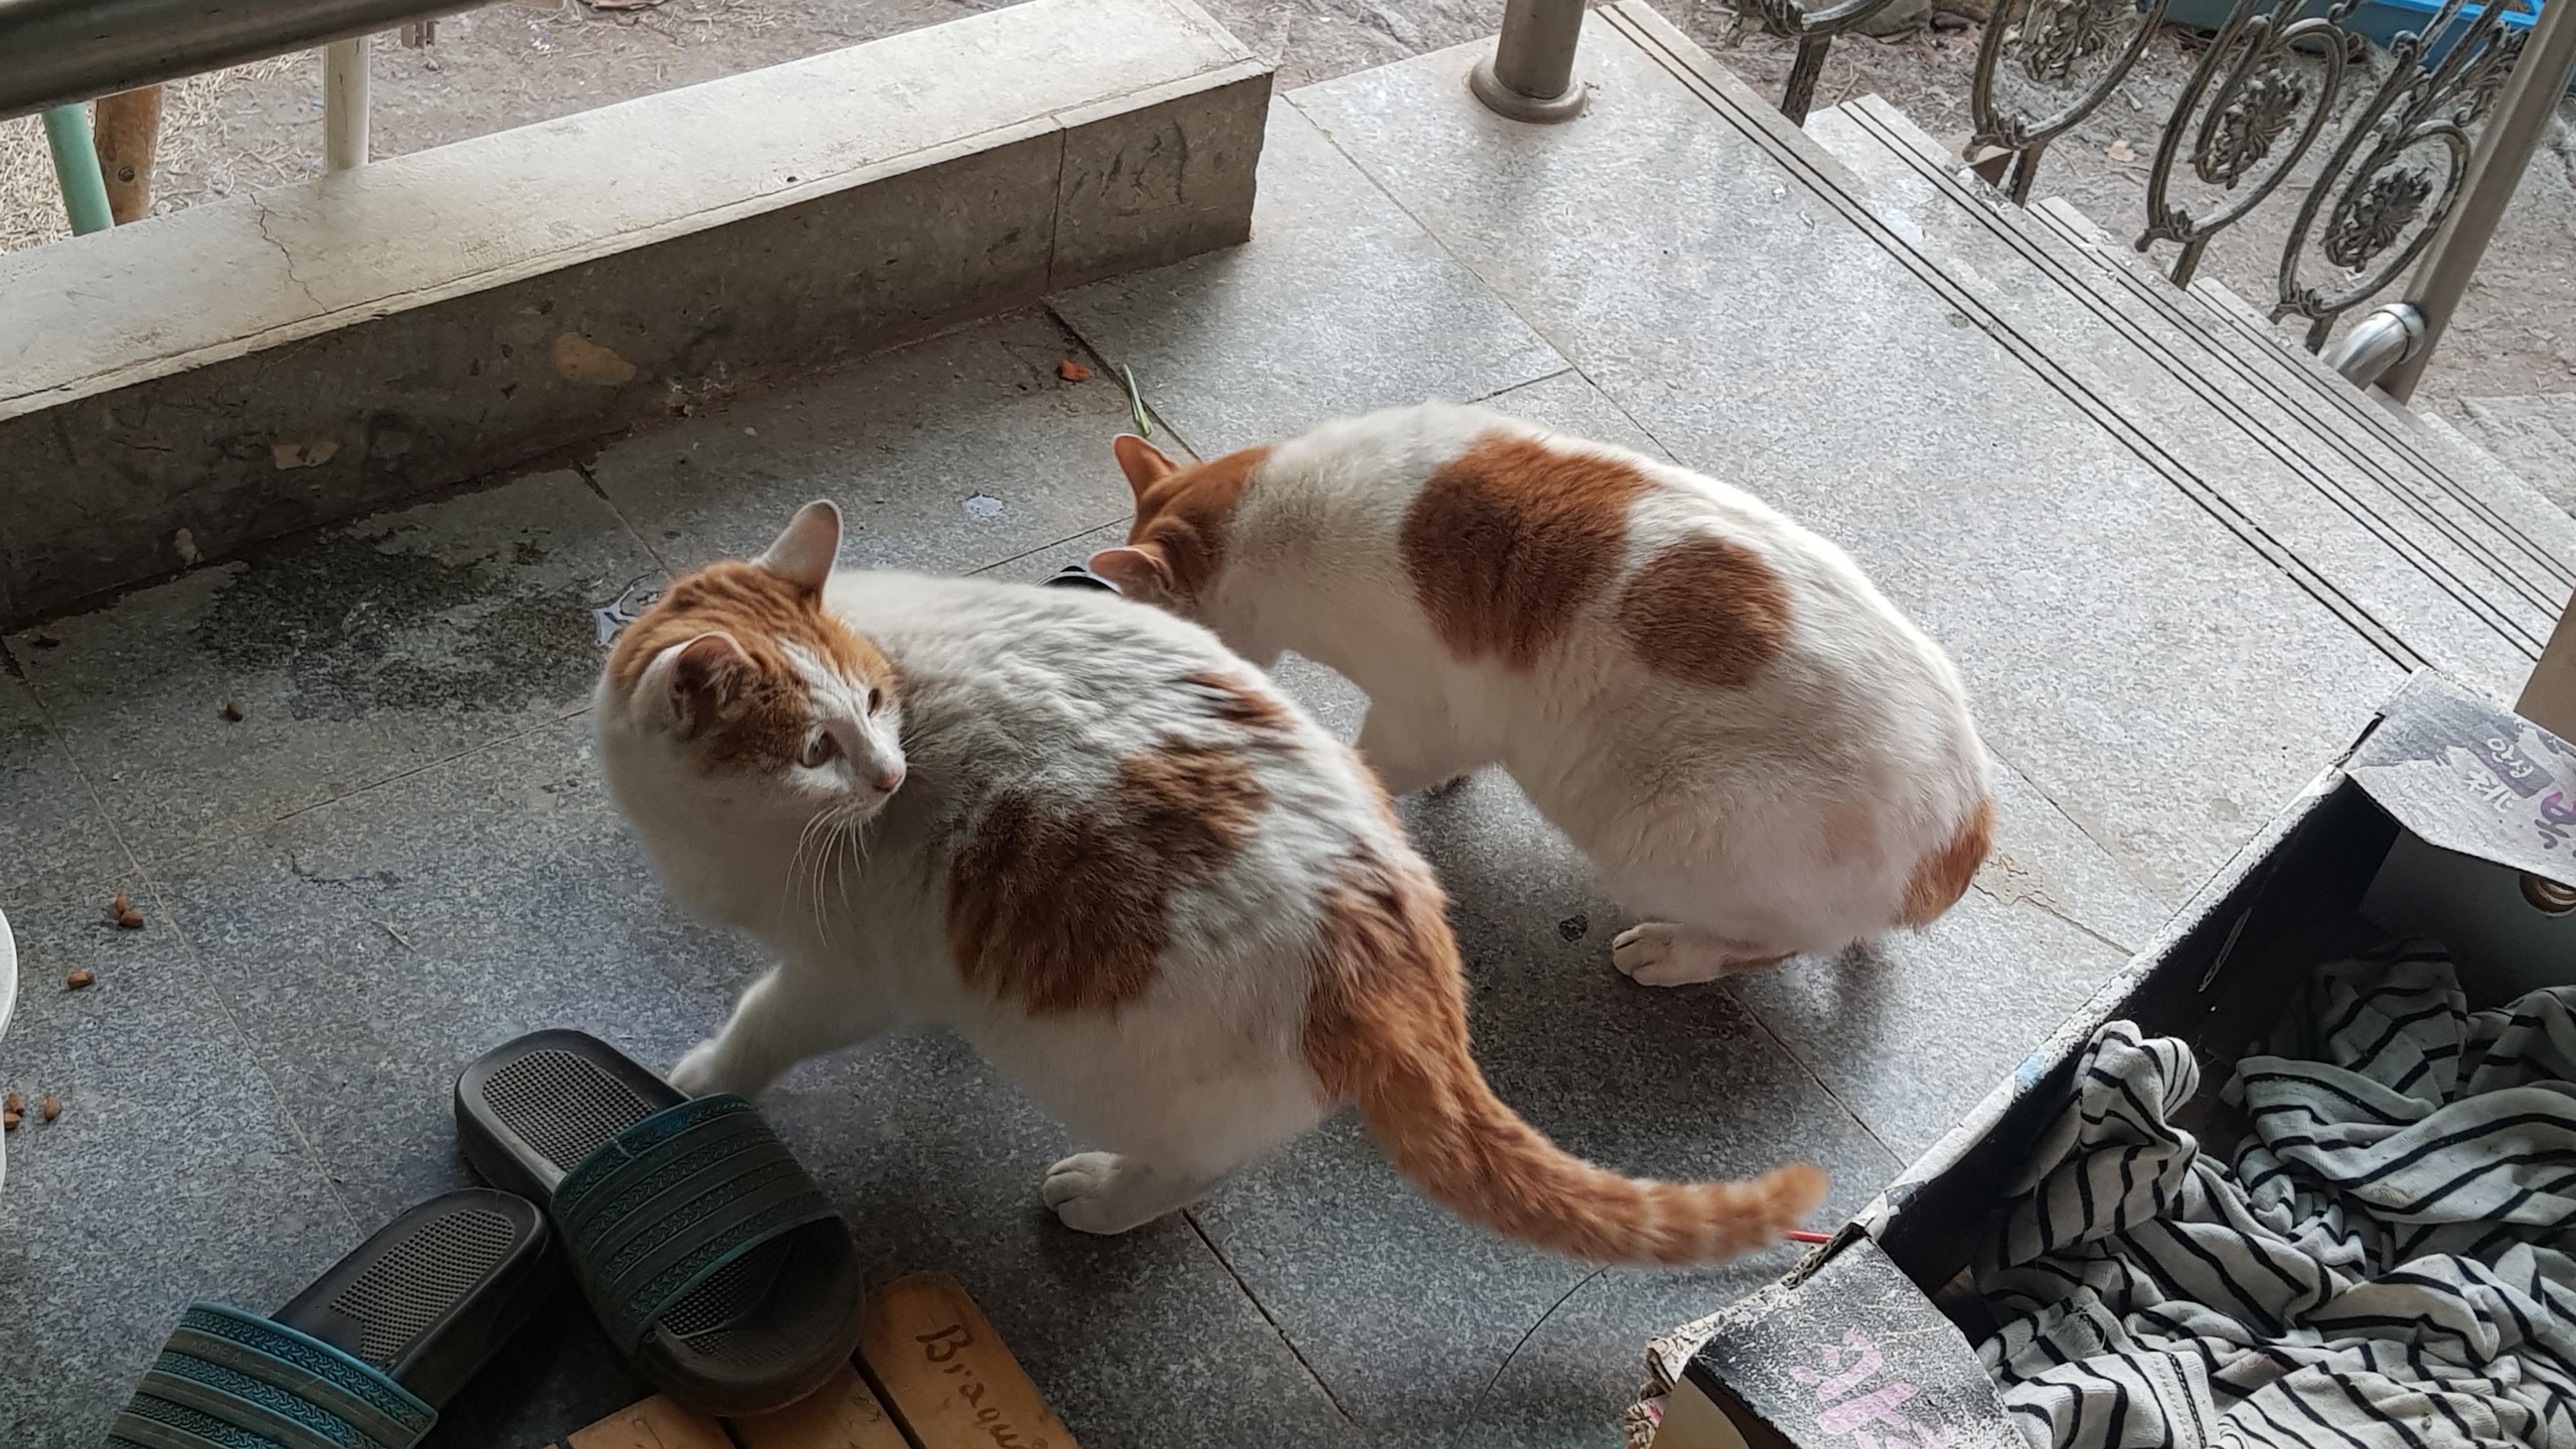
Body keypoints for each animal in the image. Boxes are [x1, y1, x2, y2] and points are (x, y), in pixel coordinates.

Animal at [595, 501, 1827, 1264]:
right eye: (818, 745)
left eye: (871, 703)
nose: (893, 773)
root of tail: (1397, 945)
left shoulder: (840, 973)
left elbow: (761, 1028)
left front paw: (704, 1079)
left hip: (1113, 1069)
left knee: (1195, 1170)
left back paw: (1101, 1196)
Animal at [1086, 402, 1994, 988]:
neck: (1279, 513)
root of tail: (1970, 827)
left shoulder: (1421, 713)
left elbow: (1373, 762)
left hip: (1662, 835)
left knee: (1783, 944)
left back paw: (1671, 954)